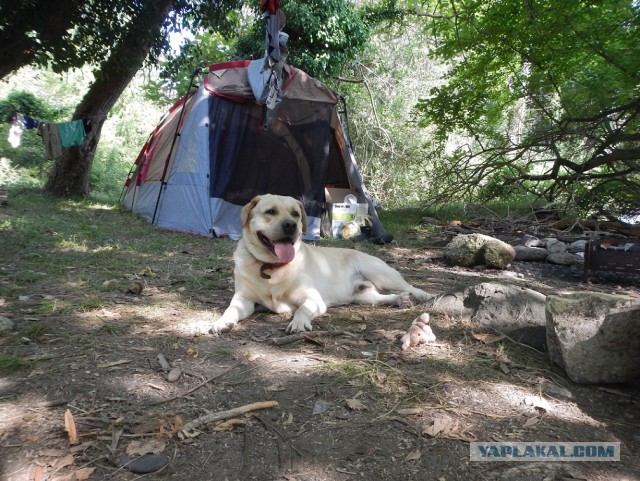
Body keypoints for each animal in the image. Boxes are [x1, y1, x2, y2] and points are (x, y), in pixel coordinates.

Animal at [212, 192, 432, 334]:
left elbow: (302, 310)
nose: (290, 225)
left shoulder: (313, 299)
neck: (271, 267)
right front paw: (222, 321)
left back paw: (423, 295)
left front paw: (299, 323)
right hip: (363, 297)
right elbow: (231, 309)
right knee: (382, 298)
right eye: (270, 212)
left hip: (380, 274)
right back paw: (398, 300)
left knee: (409, 286)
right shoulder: (244, 299)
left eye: (295, 214)